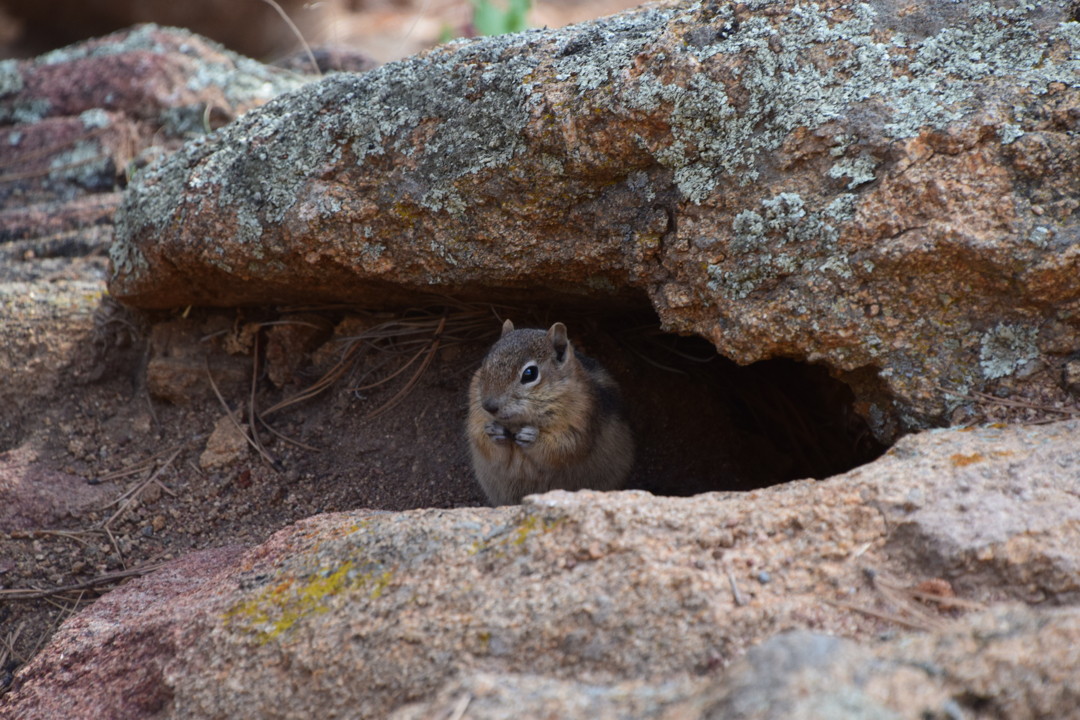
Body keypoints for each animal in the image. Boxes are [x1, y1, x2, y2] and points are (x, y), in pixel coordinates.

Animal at [466, 321, 630, 507]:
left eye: (530, 374)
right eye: (485, 363)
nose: (489, 406)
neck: (517, 423)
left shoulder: (580, 422)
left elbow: (564, 447)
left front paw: (531, 437)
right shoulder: (477, 419)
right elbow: (481, 439)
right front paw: (494, 432)